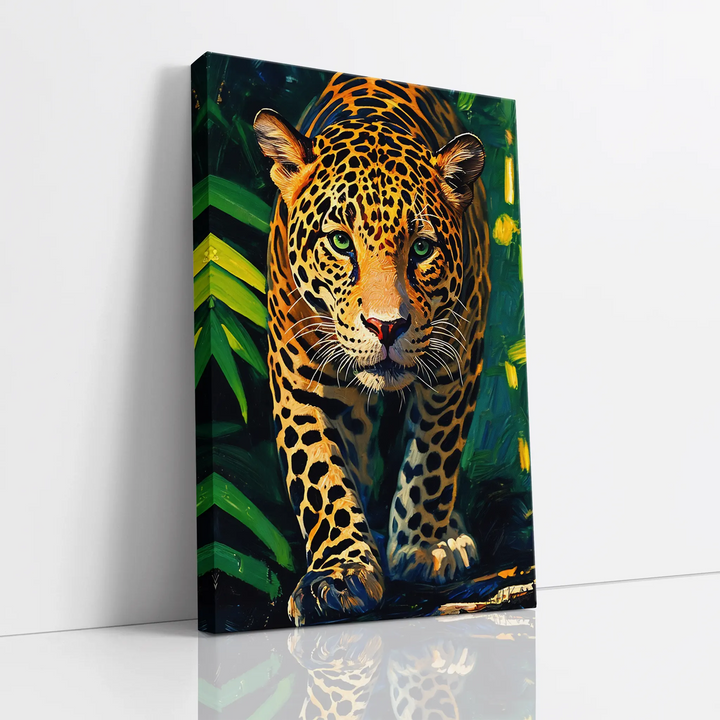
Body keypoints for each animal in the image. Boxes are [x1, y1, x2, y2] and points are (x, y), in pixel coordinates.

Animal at [253, 72, 490, 627]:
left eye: (421, 248)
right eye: (340, 243)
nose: (387, 327)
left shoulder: (456, 363)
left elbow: (432, 459)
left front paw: (421, 548)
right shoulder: (299, 381)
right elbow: (321, 475)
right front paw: (342, 573)